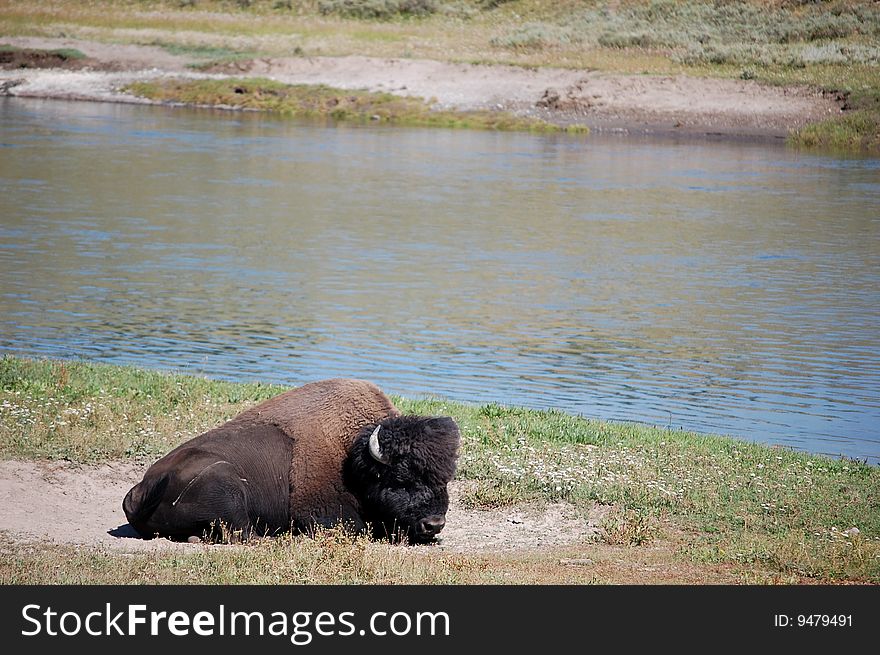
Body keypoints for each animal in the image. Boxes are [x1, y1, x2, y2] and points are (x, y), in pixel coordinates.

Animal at [122, 376, 460, 544]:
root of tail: (141, 490)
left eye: (444, 480)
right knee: (243, 534)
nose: (434, 524)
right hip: (226, 485)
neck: (353, 456)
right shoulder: (323, 515)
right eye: (401, 480)